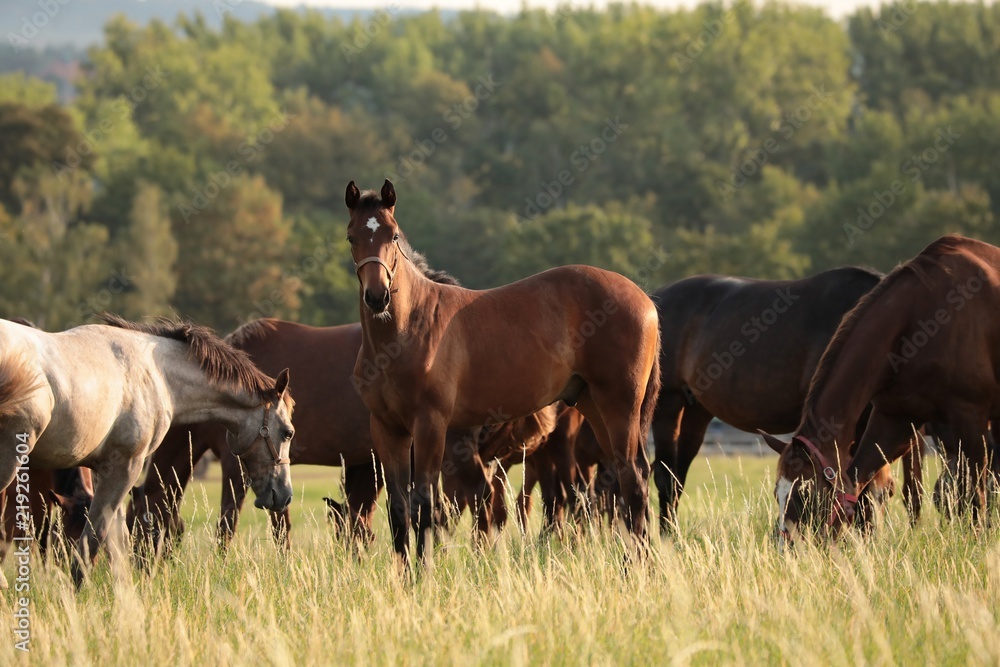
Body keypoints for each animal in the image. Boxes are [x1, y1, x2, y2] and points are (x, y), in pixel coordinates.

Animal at [0, 316, 292, 580]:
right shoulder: (125, 468)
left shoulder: (102, 470)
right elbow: (92, 541)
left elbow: (114, 543)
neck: (156, 372)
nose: (284, 494)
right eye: (288, 432)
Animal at [346, 180, 664, 568]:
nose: (378, 297)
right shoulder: (387, 428)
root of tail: (645, 301)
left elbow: (425, 502)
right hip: (595, 407)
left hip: (619, 407)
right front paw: (404, 573)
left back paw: (639, 567)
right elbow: (399, 507)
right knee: (626, 476)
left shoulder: (430, 425)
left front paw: (424, 572)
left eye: (392, 235)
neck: (409, 328)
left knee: (633, 479)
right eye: (351, 237)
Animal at [652, 268, 924, 536]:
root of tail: (656, 297)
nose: (875, 535)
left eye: (888, 494)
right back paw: (667, 538)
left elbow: (909, 485)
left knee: (677, 476)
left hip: (696, 410)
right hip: (669, 401)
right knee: (665, 477)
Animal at [760, 237, 996, 540]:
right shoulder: (896, 418)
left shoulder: (970, 417)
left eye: (806, 494)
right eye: (777, 494)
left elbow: (974, 490)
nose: (788, 546)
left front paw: (979, 538)